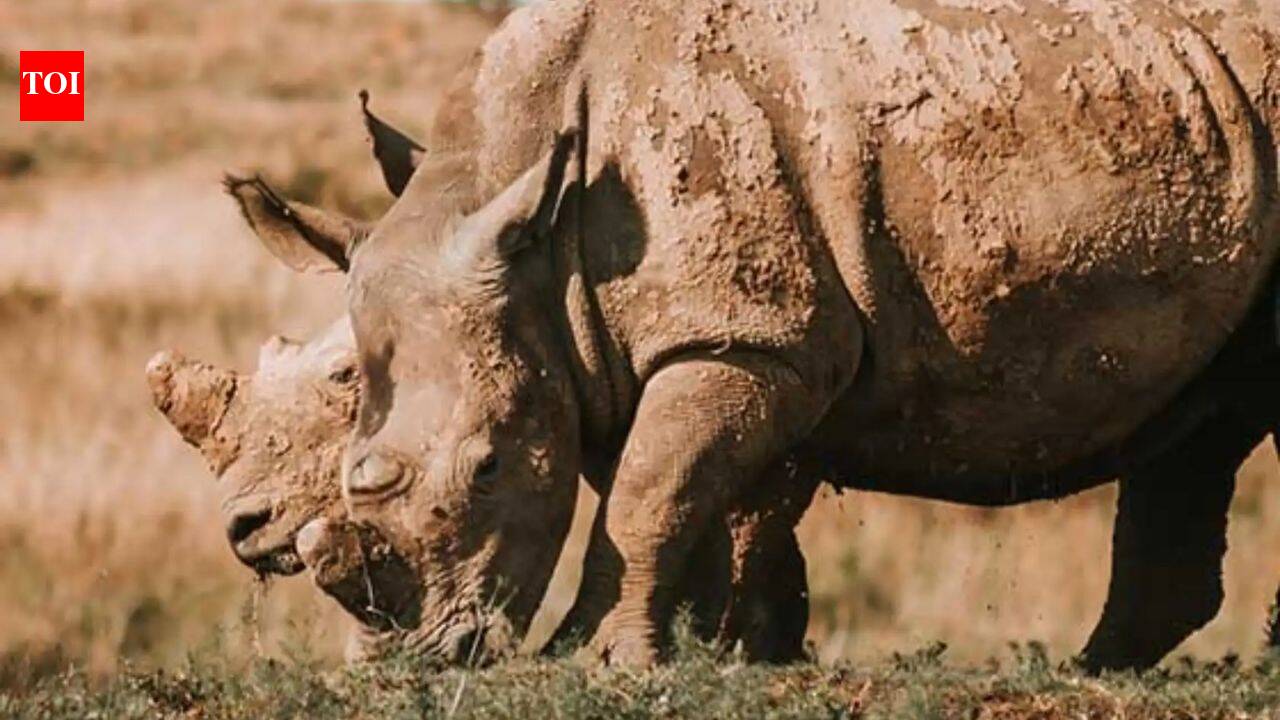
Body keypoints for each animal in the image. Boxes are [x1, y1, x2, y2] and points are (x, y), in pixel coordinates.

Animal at [227, 0, 1280, 671]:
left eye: (487, 469)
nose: (411, 662)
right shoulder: (613, 351)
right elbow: (681, 498)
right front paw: (711, 653)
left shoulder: (746, 338)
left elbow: (652, 496)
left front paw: (592, 660)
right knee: (1204, 422)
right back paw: (1093, 672)